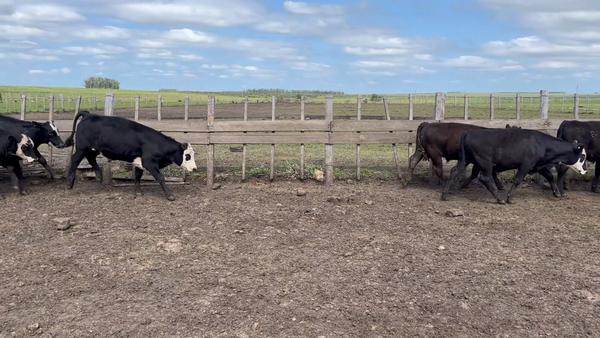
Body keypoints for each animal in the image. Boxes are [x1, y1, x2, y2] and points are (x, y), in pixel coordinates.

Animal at [64, 111, 198, 201]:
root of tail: (88, 114)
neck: (156, 143)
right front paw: (169, 195)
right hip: (82, 148)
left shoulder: (140, 162)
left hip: (93, 149)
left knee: (91, 158)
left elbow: (138, 177)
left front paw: (138, 192)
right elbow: (160, 178)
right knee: (75, 160)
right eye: (187, 156)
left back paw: (98, 175)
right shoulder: (149, 163)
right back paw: (70, 183)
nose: (195, 168)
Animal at [440, 128, 584, 205]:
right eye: (582, 157)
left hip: (466, 160)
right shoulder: (526, 165)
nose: (585, 171)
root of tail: (469, 132)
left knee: (454, 172)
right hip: (485, 163)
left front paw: (556, 193)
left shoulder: (537, 166)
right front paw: (509, 198)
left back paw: (444, 195)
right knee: (486, 179)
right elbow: (517, 180)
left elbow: (549, 176)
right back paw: (499, 199)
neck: (541, 144)